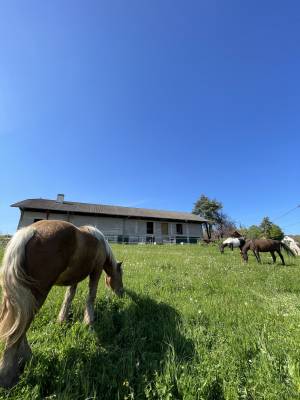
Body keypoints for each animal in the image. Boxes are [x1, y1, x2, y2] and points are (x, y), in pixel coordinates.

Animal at [0, 220, 124, 390]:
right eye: (120, 274)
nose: (122, 293)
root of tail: (29, 232)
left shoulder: (75, 278)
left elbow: (69, 297)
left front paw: (62, 319)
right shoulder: (96, 271)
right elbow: (90, 296)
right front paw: (89, 322)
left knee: (18, 326)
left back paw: (27, 358)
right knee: (17, 332)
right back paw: (8, 376)